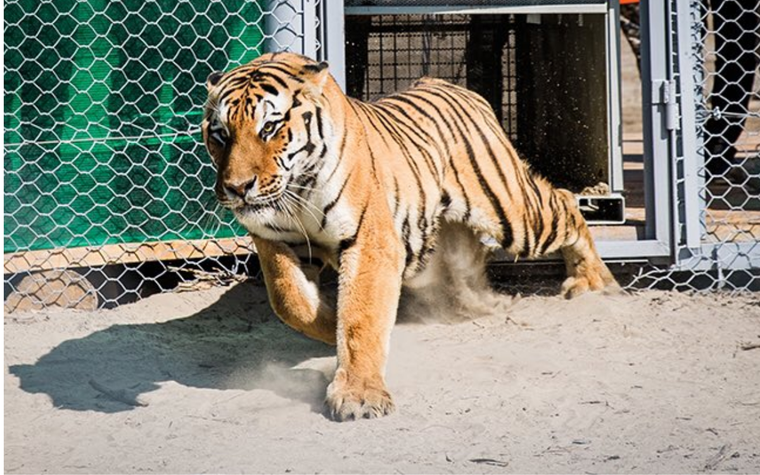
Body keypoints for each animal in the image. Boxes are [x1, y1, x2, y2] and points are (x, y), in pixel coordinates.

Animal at [202, 52, 619, 422]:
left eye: (269, 128)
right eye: (221, 134)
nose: (237, 188)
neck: (297, 189)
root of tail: (445, 83)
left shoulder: (370, 242)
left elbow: (361, 318)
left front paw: (358, 395)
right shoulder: (275, 241)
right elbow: (290, 301)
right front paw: (328, 323)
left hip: (513, 213)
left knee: (565, 201)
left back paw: (595, 282)